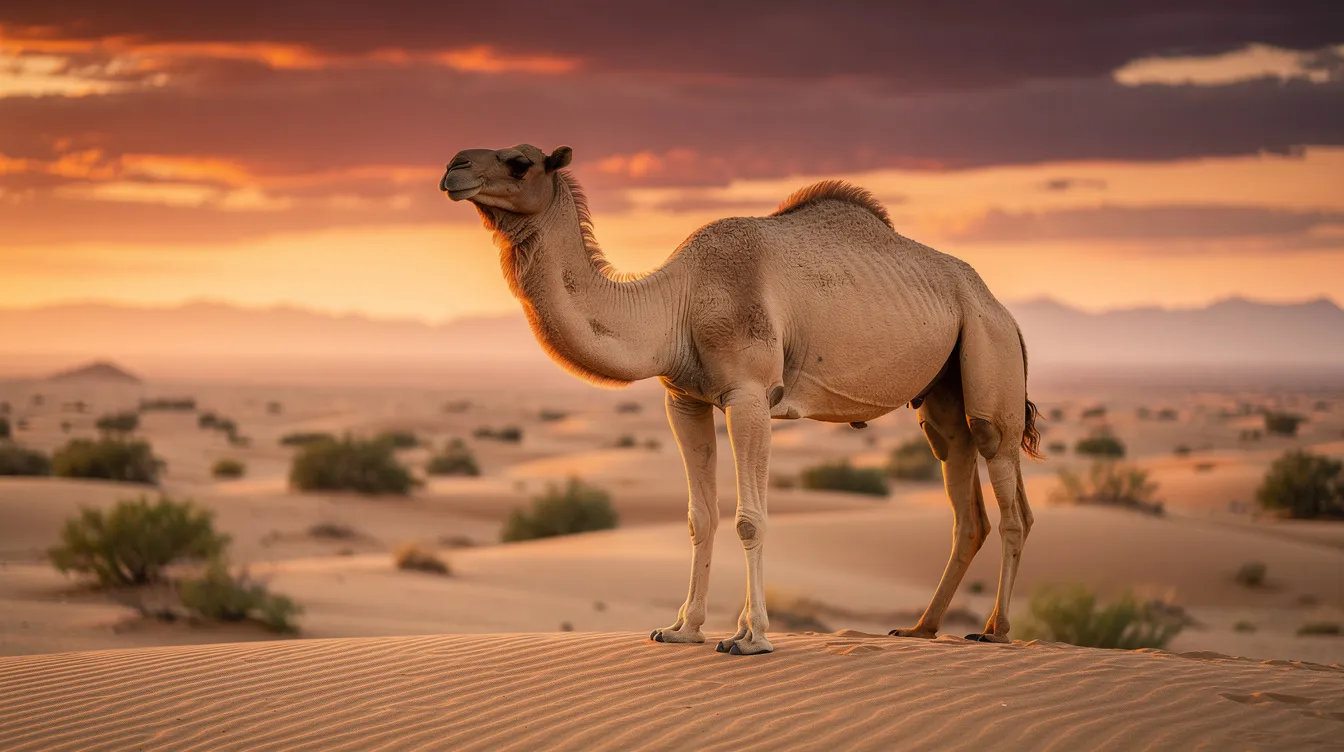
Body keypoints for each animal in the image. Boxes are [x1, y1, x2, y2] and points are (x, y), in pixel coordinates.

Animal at [440, 144, 1041, 655]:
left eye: (520, 162)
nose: (453, 166)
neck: (675, 303)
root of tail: (1006, 313)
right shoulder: (683, 398)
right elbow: (698, 516)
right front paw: (682, 629)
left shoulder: (750, 394)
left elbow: (749, 518)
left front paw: (750, 637)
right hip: (941, 396)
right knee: (965, 497)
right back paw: (920, 629)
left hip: (989, 355)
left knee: (1008, 493)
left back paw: (995, 631)